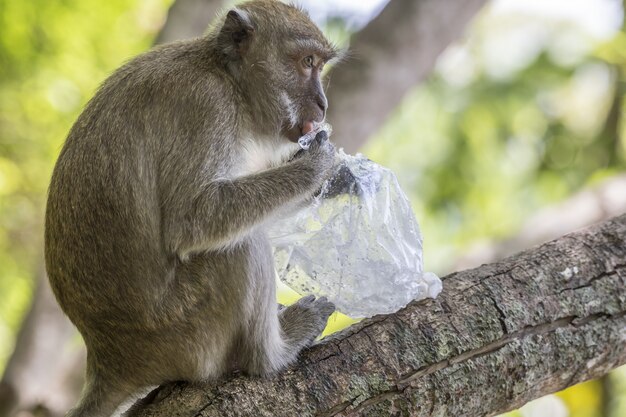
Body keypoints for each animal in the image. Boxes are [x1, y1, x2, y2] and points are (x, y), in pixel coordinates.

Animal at [44, 1, 342, 414]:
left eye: (320, 65)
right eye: (307, 62)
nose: (323, 105)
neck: (228, 79)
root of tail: (110, 359)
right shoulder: (207, 107)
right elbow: (193, 220)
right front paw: (316, 166)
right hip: (188, 332)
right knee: (241, 244)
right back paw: (270, 355)